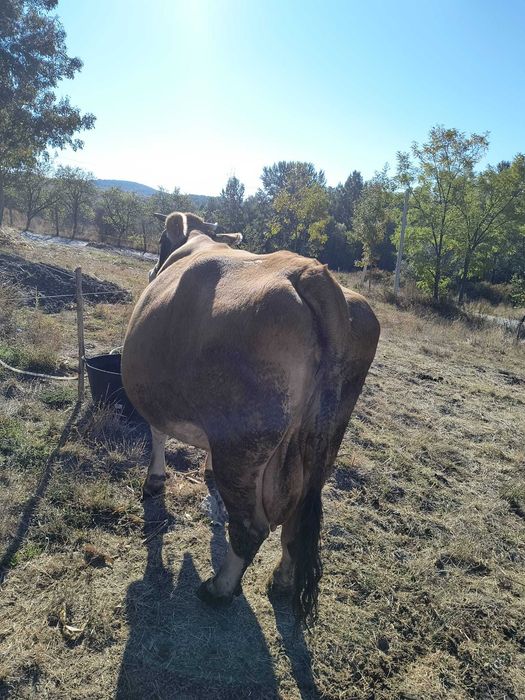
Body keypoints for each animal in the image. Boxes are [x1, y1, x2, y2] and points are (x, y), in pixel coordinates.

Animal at [121, 212, 379, 626]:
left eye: (161, 242)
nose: (150, 272)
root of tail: (313, 274)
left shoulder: (156, 394)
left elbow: (157, 433)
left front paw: (154, 482)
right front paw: (205, 474)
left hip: (242, 444)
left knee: (250, 527)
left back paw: (219, 589)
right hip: (324, 442)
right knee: (296, 522)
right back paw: (282, 582)